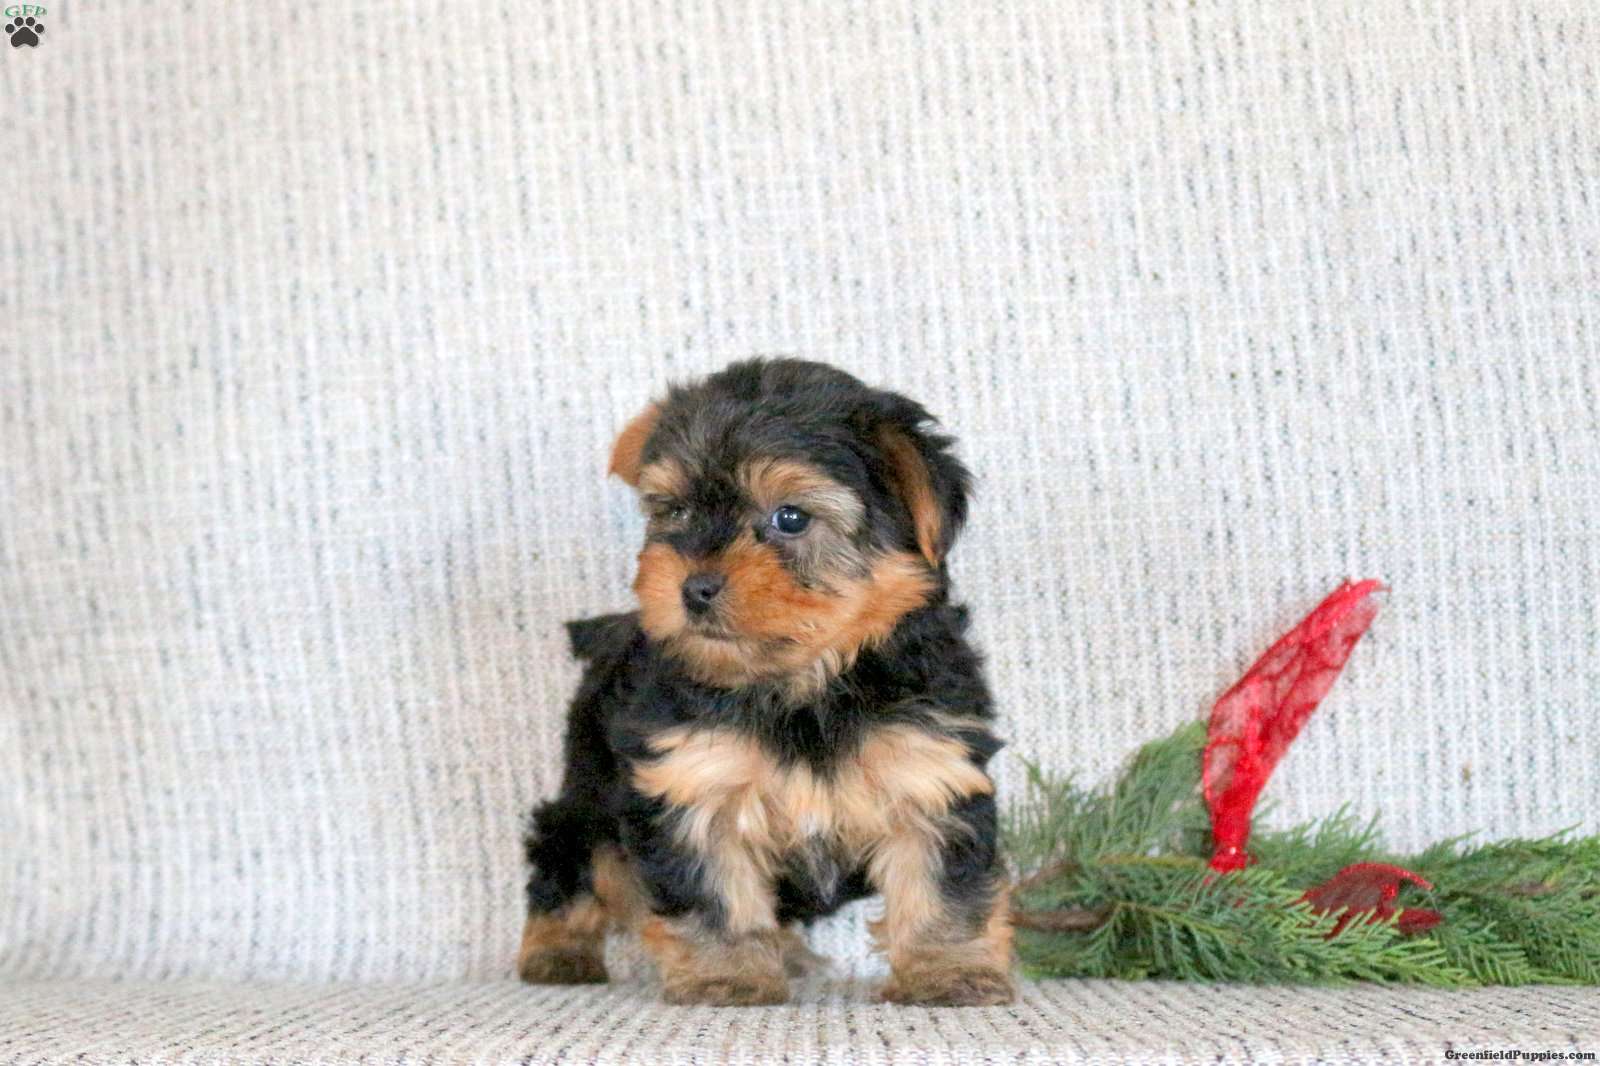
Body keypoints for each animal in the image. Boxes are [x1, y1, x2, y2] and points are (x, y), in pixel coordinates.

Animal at [519, 358, 1013, 1006]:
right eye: (675, 511)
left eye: (790, 518)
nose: (693, 586)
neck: (803, 685)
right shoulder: (693, 778)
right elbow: (715, 889)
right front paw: (725, 976)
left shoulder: (929, 766)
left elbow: (940, 883)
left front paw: (948, 972)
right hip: (590, 785)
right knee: (569, 853)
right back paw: (556, 952)